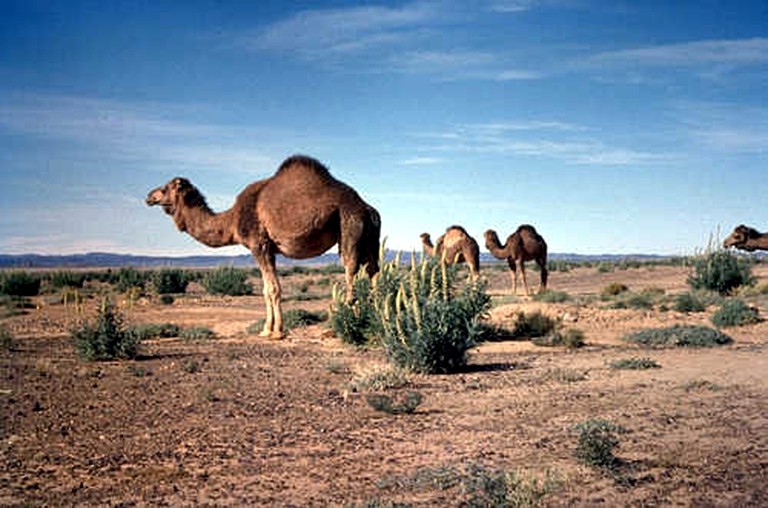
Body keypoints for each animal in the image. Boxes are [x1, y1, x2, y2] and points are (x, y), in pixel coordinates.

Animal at [146, 154, 380, 338]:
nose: (149, 196)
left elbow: (272, 289)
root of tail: (367, 209)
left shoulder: (258, 244)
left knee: (350, 270)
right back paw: (377, 317)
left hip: (349, 224)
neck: (232, 220)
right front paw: (268, 329)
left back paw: (343, 325)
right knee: (374, 272)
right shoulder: (270, 249)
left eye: (165, 188)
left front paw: (275, 332)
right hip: (370, 238)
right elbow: (267, 290)